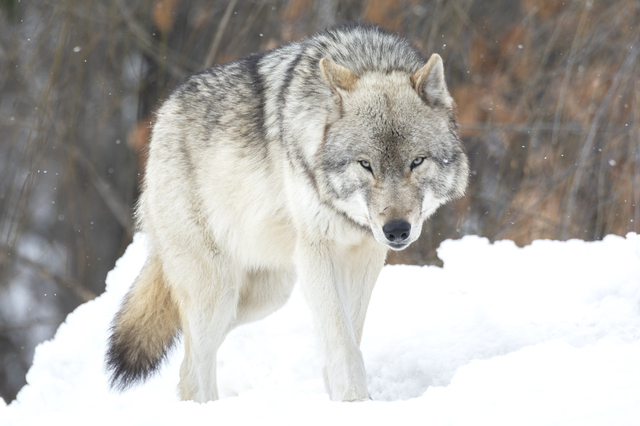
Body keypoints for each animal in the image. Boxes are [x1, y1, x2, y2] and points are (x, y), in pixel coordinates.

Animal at [106, 23, 470, 402]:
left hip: (266, 293)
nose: (396, 230)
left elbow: (349, 334)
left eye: (417, 161)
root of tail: (163, 114)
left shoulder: (365, 255)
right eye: (366, 165)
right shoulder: (318, 253)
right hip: (218, 292)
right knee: (194, 367)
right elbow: (342, 339)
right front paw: (354, 400)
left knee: (187, 357)